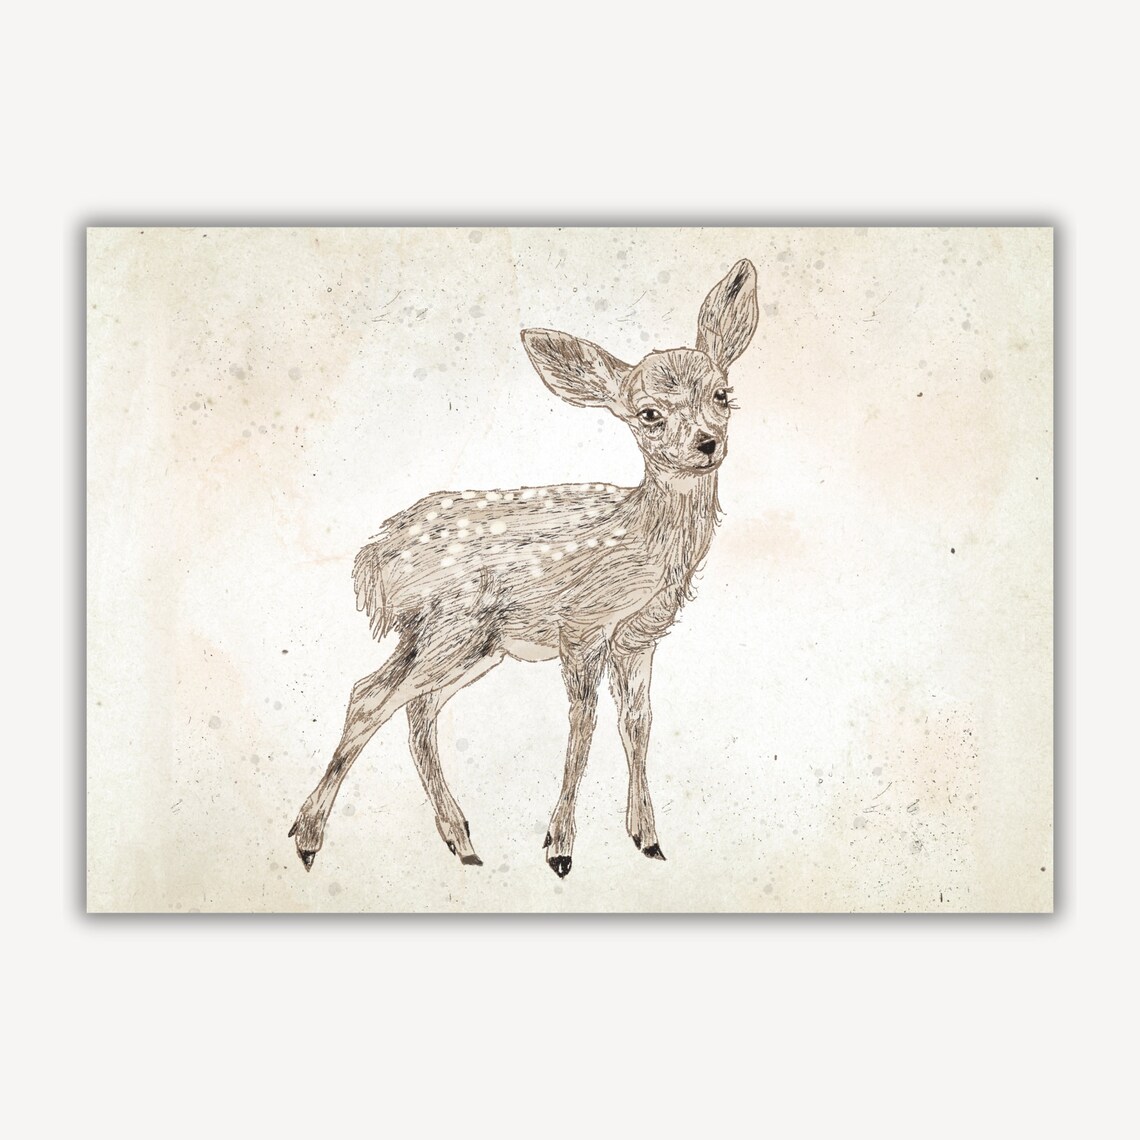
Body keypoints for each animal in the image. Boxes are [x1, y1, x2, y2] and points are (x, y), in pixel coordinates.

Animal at [289, 259, 759, 878]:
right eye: (649, 414)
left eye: (723, 394)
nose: (707, 443)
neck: (644, 545)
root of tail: (376, 558)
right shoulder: (580, 626)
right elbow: (583, 722)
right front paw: (559, 847)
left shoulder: (639, 636)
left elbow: (638, 722)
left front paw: (647, 838)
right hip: (454, 628)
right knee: (372, 696)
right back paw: (308, 838)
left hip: (470, 643)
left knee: (412, 706)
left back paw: (461, 842)